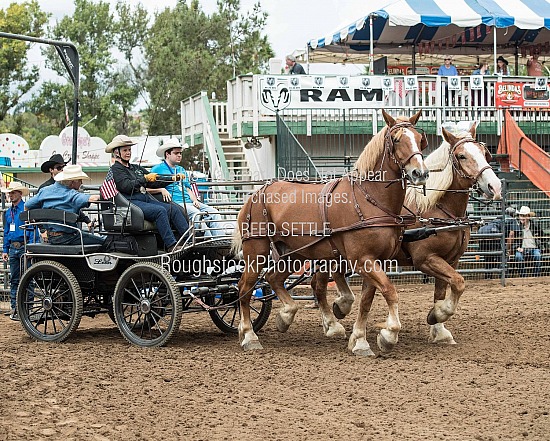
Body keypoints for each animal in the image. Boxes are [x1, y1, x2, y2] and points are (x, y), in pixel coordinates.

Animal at [233, 110, 432, 354]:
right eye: (396, 140)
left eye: (420, 139)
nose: (420, 172)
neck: (371, 199)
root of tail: (257, 192)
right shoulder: (363, 260)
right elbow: (389, 290)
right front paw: (389, 333)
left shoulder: (377, 261)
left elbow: (366, 301)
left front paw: (360, 340)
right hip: (256, 250)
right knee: (244, 287)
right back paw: (249, 335)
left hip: (294, 253)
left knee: (273, 278)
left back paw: (286, 315)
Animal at [314, 121, 504, 354]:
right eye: (462, 156)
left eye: (485, 153)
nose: (495, 186)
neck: (436, 207)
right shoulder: (426, 259)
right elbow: (459, 283)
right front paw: (437, 315)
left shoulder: (451, 260)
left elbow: (443, 291)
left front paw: (439, 328)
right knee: (319, 284)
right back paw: (333, 323)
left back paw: (340, 307)